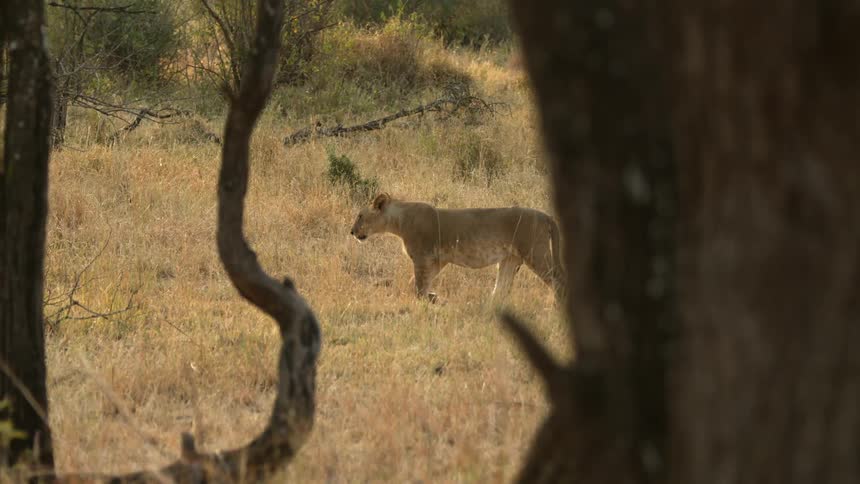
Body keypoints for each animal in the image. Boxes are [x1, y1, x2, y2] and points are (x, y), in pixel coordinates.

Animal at [350, 193, 565, 304]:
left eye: (360, 216)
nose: (351, 232)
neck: (399, 221)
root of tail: (547, 216)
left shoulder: (422, 258)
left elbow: (418, 284)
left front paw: (424, 300)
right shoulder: (438, 260)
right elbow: (418, 282)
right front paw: (432, 296)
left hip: (535, 253)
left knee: (558, 281)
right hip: (510, 260)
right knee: (501, 289)